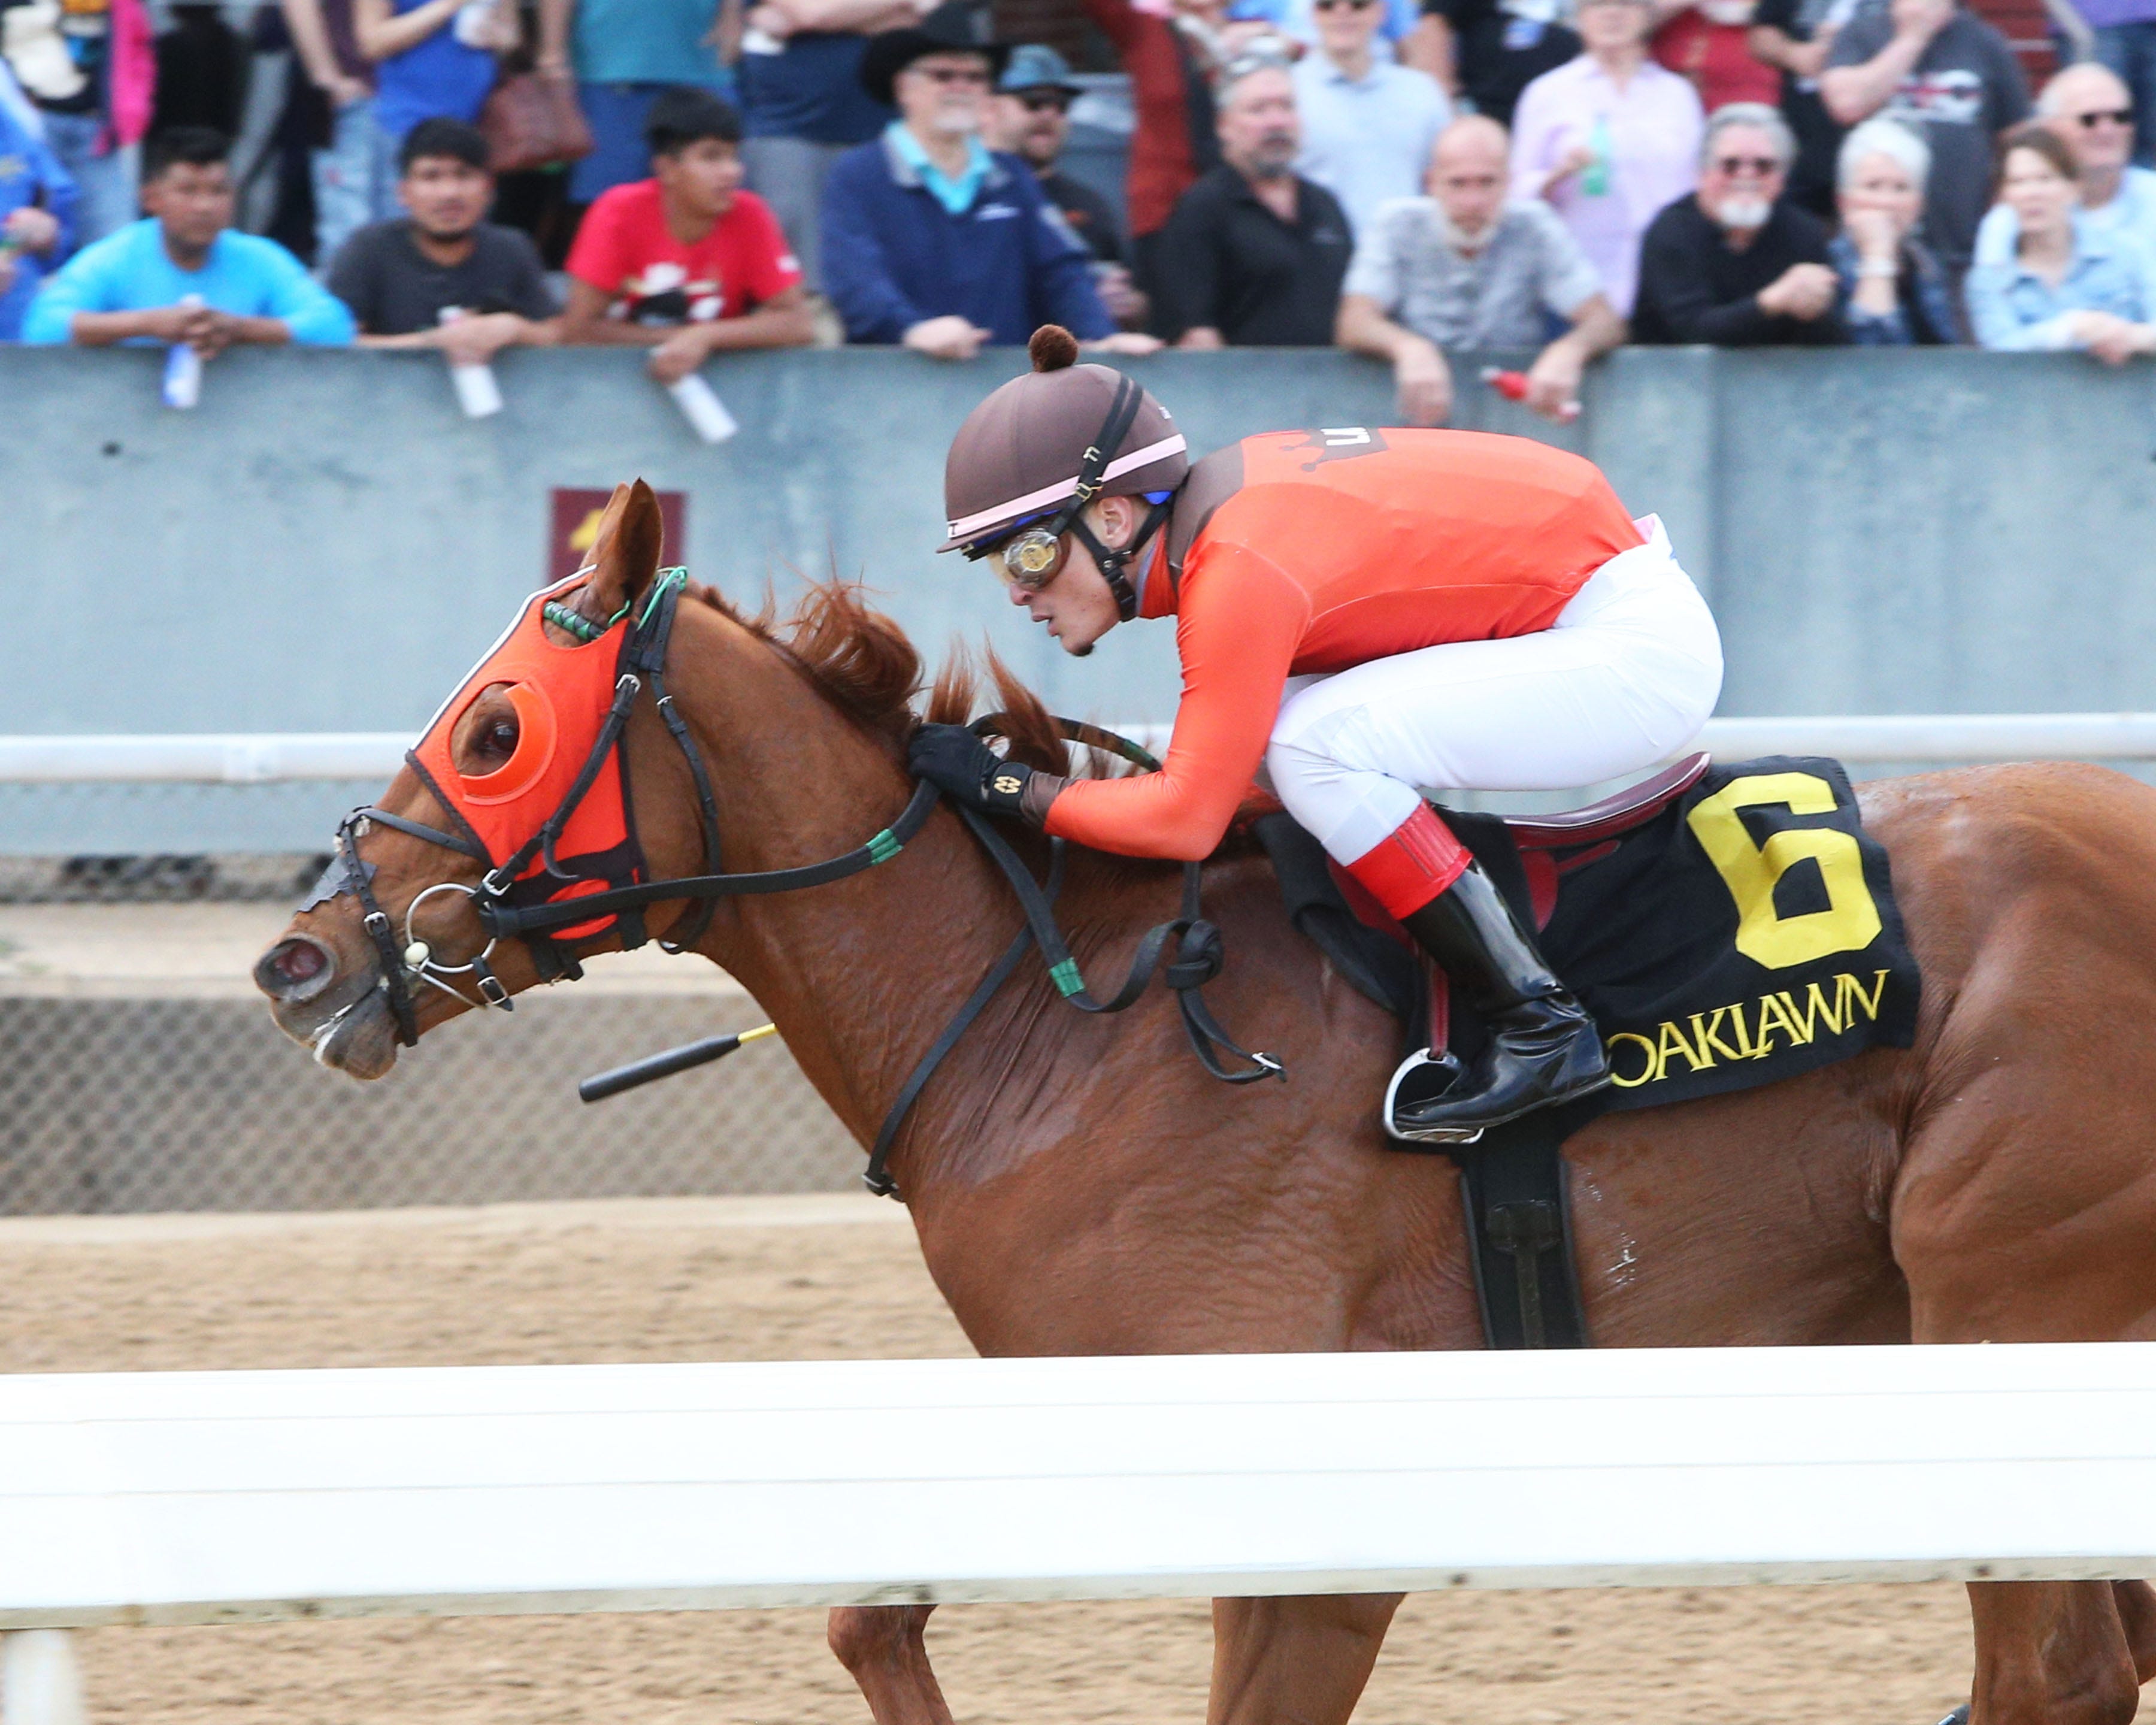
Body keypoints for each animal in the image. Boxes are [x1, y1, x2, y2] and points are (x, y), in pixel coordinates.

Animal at [265, 485, 2156, 1725]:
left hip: (2000, 1302)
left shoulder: (1308, 1501)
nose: (299, 957)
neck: (1050, 1021)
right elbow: (870, 1619)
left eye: (495, 729)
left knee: (2055, 1672)